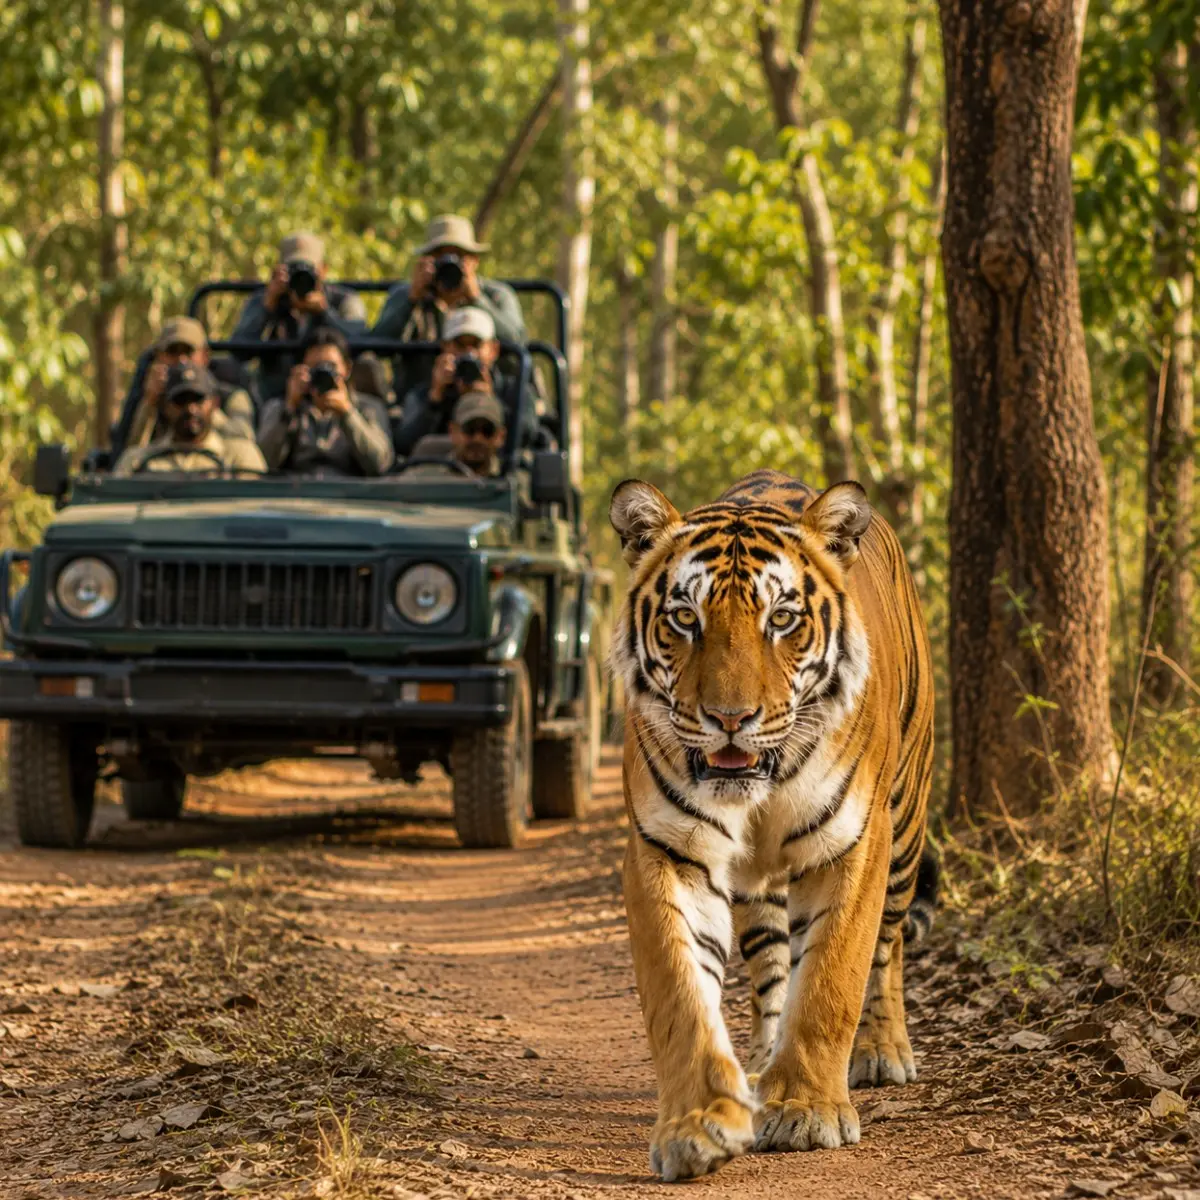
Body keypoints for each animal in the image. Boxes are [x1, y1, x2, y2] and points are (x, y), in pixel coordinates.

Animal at [608, 469, 936, 1182]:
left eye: (781, 619)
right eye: (685, 617)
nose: (731, 719)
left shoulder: (854, 843)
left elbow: (834, 976)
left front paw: (808, 1111)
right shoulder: (667, 849)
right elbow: (681, 992)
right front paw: (697, 1124)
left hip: (905, 829)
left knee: (889, 947)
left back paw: (881, 1051)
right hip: (758, 889)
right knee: (771, 969)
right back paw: (759, 1067)